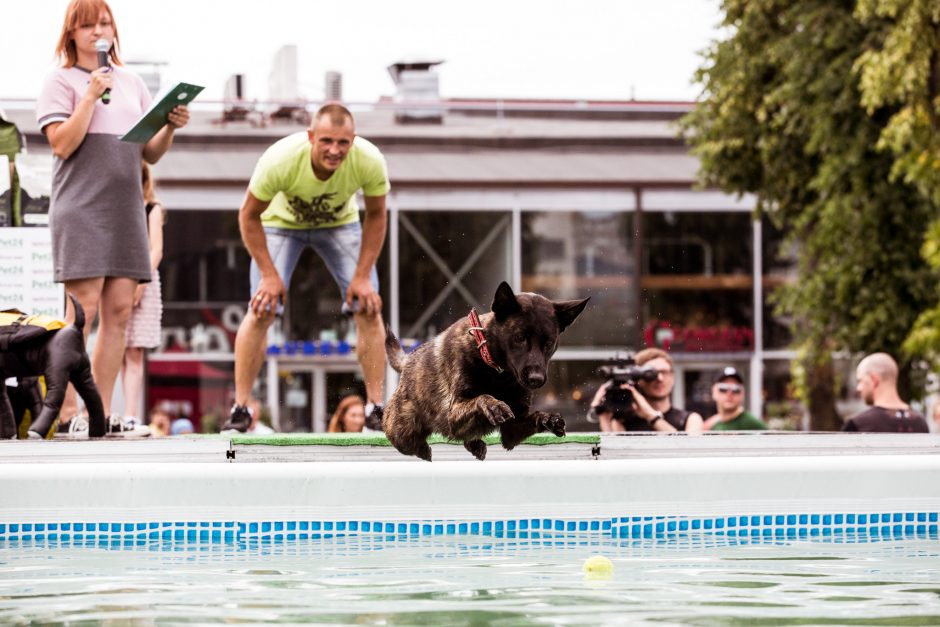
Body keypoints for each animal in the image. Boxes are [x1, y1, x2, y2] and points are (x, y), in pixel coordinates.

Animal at [0, 294, 104, 436]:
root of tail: (75, 328)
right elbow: (5, 408)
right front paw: (9, 435)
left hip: (56, 373)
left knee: (53, 400)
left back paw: (36, 431)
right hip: (82, 374)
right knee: (93, 397)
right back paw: (97, 431)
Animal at [382, 280, 588, 462]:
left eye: (549, 343)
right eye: (520, 337)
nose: (536, 379)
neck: (498, 373)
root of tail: (408, 360)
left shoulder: (511, 431)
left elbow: (532, 419)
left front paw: (549, 419)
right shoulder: (453, 414)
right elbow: (481, 398)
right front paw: (494, 406)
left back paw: (475, 445)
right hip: (402, 432)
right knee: (409, 444)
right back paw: (424, 450)